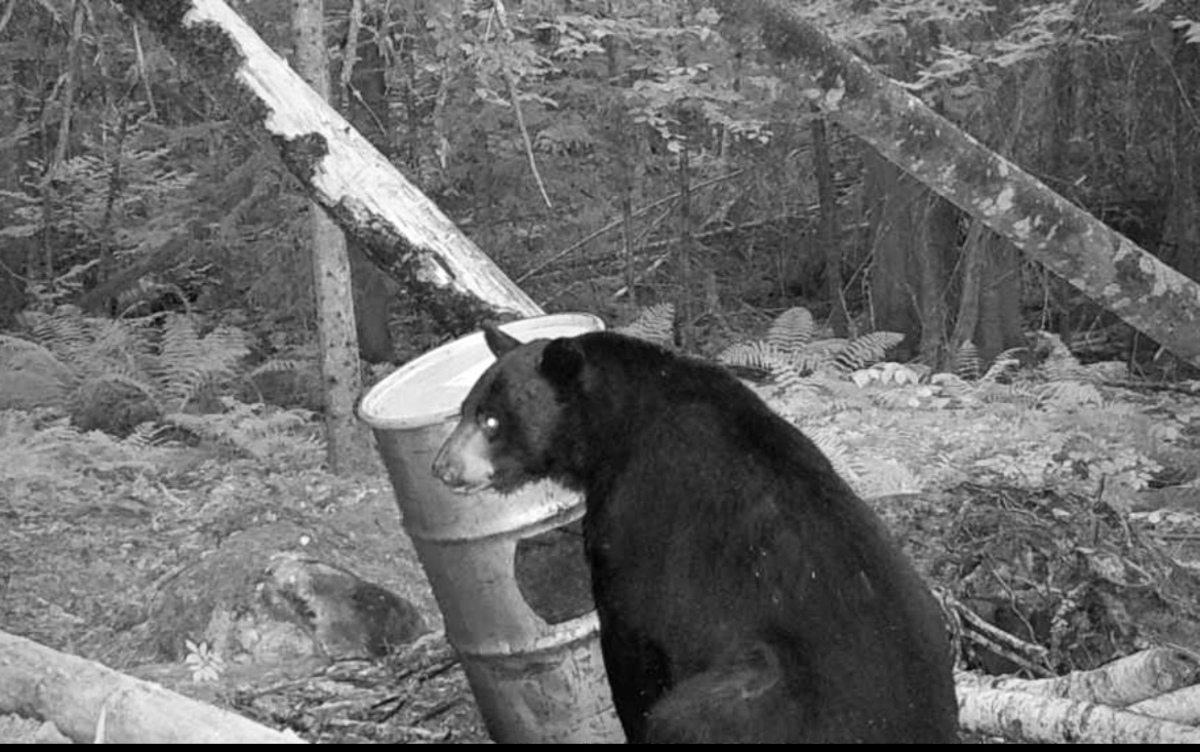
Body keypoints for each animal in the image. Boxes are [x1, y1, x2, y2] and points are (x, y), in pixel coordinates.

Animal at [432, 325, 958, 743]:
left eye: (491, 419)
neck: (623, 419)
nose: (441, 468)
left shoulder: (637, 515)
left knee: (690, 713)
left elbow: (630, 638)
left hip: (765, 696)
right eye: (463, 409)